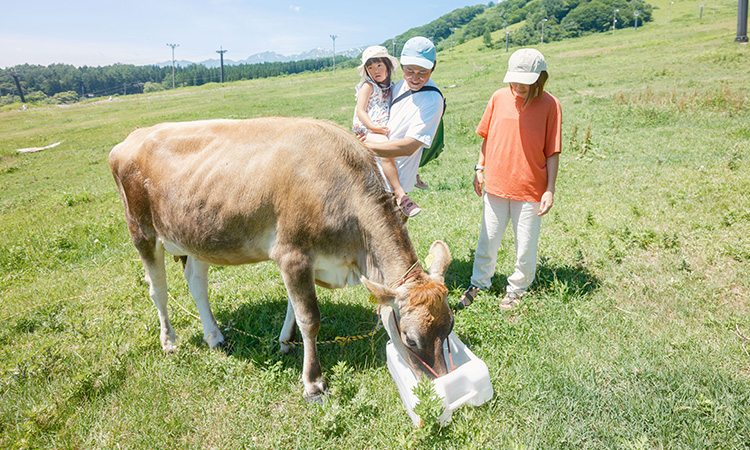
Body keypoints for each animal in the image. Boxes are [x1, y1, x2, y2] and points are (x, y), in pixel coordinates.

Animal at [109, 117, 456, 400]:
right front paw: (313, 382)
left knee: (196, 283)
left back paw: (216, 337)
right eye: (410, 340)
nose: (439, 384)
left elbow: (293, 307)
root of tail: (132, 136)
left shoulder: (306, 262)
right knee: (158, 291)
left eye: (449, 328)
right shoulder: (293, 254)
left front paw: (286, 343)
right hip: (142, 231)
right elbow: (310, 317)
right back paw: (169, 341)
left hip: (196, 235)